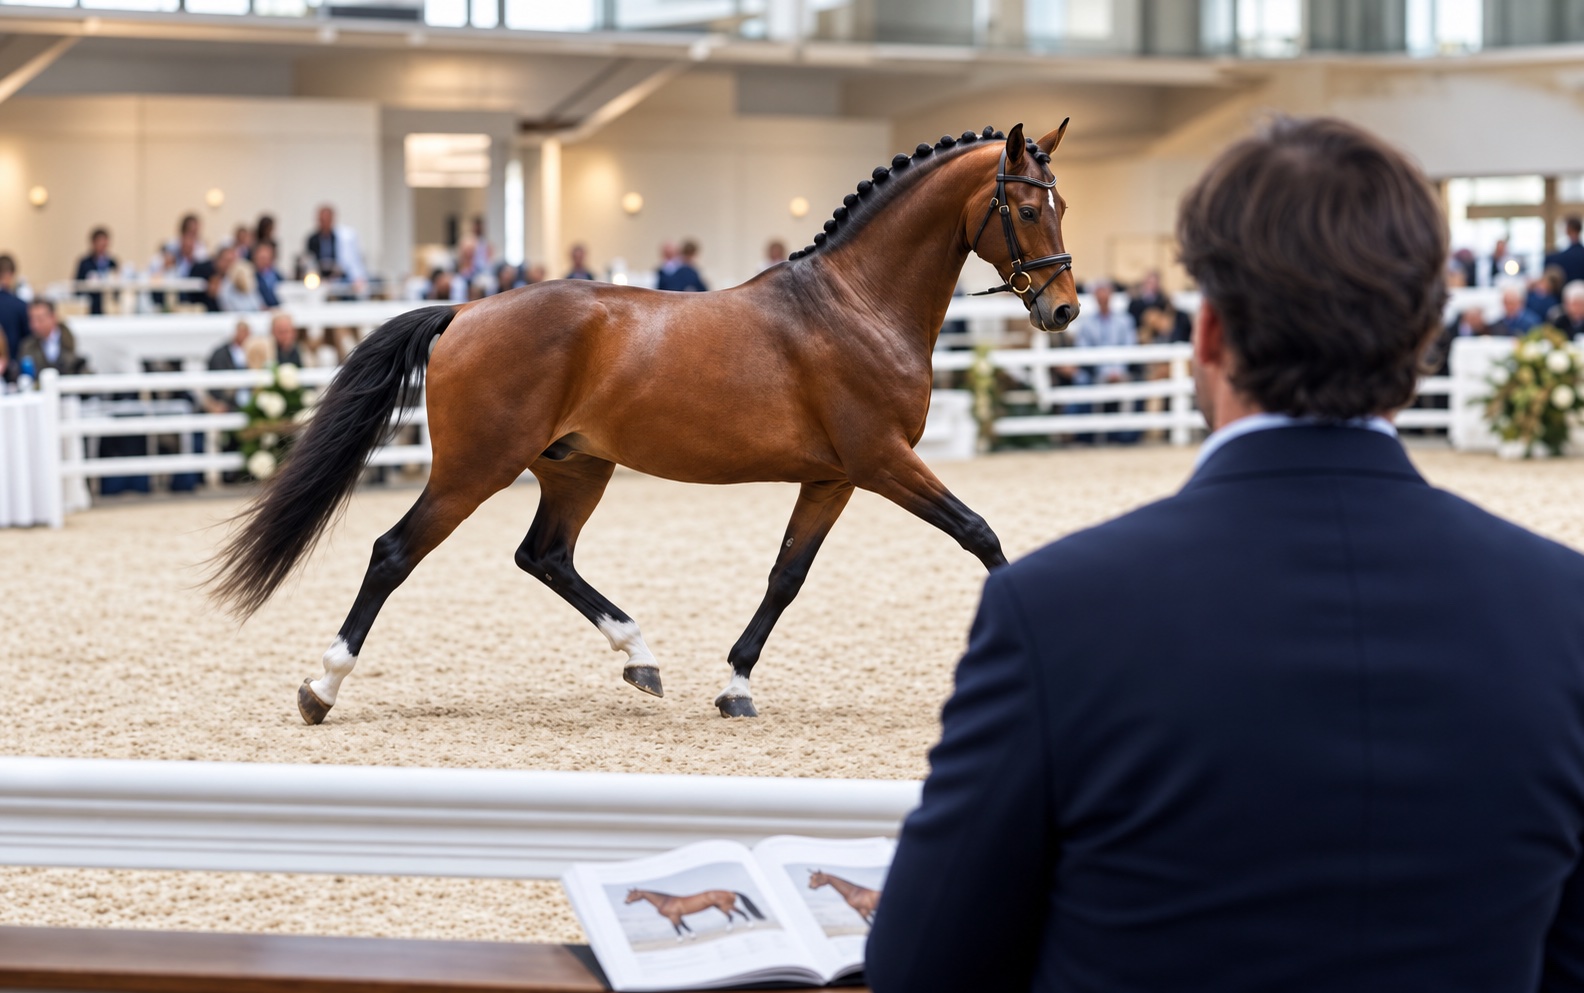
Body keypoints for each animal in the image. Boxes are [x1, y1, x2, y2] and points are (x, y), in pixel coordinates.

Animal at [206, 121, 1079, 723]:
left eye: (1062, 203)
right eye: (1025, 206)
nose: (1064, 308)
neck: (855, 304)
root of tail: (464, 311)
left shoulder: (833, 477)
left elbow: (786, 575)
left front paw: (735, 685)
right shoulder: (883, 461)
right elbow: (980, 534)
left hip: (575, 467)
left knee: (545, 555)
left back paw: (641, 658)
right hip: (475, 469)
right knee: (394, 553)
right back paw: (320, 687)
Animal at [624, 887, 765, 940]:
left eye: (633, 895)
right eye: (628, 895)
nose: (626, 902)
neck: (666, 901)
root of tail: (730, 891)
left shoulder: (673, 917)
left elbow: (676, 927)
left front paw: (680, 940)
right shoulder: (678, 916)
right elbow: (684, 925)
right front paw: (693, 936)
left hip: (726, 907)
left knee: (737, 914)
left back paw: (745, 927)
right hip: (721, 907)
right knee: (733, 916)